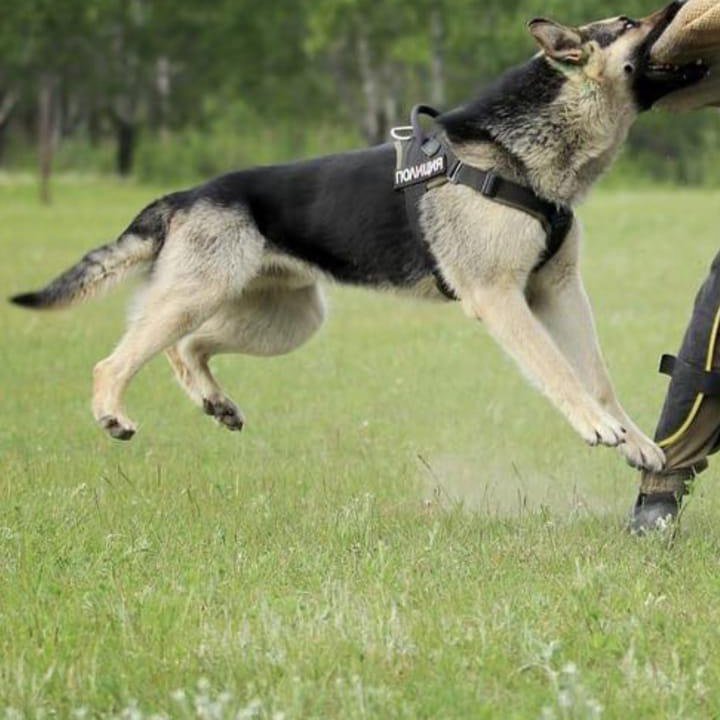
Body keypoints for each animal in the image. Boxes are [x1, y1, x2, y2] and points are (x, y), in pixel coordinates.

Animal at [9, 2, 708, 472]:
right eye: (629, 21)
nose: (679, 4)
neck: (514, 153)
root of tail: (183, 196)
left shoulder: (559, 292)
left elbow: (598, 376)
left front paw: (637, 441)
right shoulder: (501, 299)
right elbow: (560, 371)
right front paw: (596, 427)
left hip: (289, 319)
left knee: (188, 349)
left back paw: (217, 403)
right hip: (198, 297)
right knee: (118, 359)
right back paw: (112, 413)